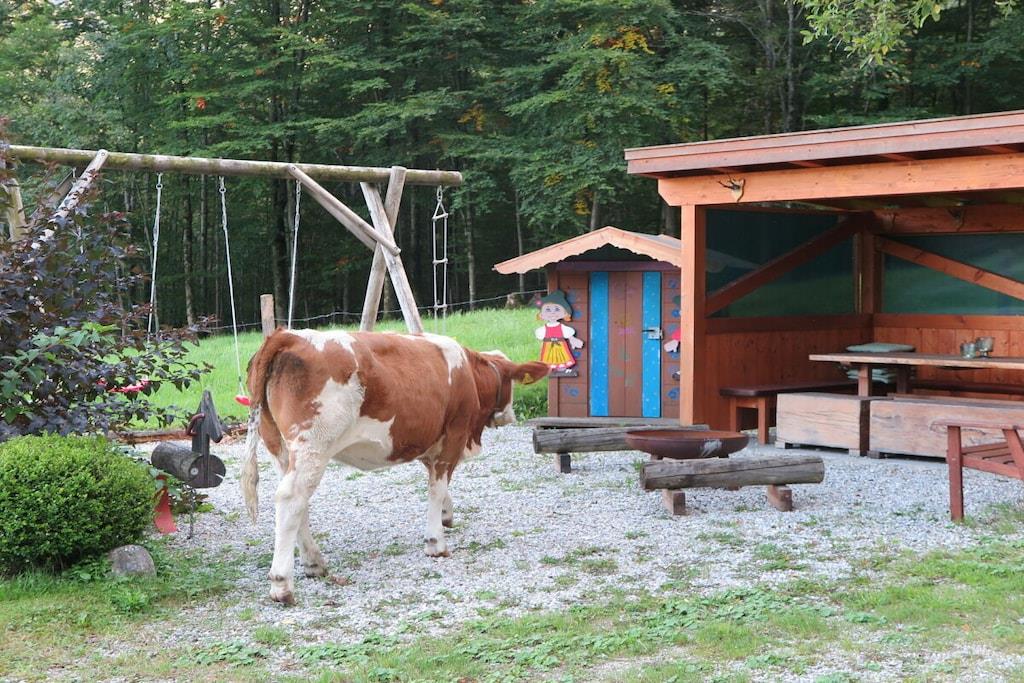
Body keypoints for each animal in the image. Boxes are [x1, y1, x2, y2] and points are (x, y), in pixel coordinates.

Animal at [240, 328, 548, 605]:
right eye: (511, 383)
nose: (510, 415)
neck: (469, 373)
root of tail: (288, 335)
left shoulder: (426, 440)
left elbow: (437, 482)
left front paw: (446, 514)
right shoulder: (454, 434)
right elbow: (437, 487)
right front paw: (435, 543)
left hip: (280, 448)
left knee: (297, 503)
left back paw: (314, 562)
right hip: (313, 445)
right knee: (290, 499)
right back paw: (282, 585)